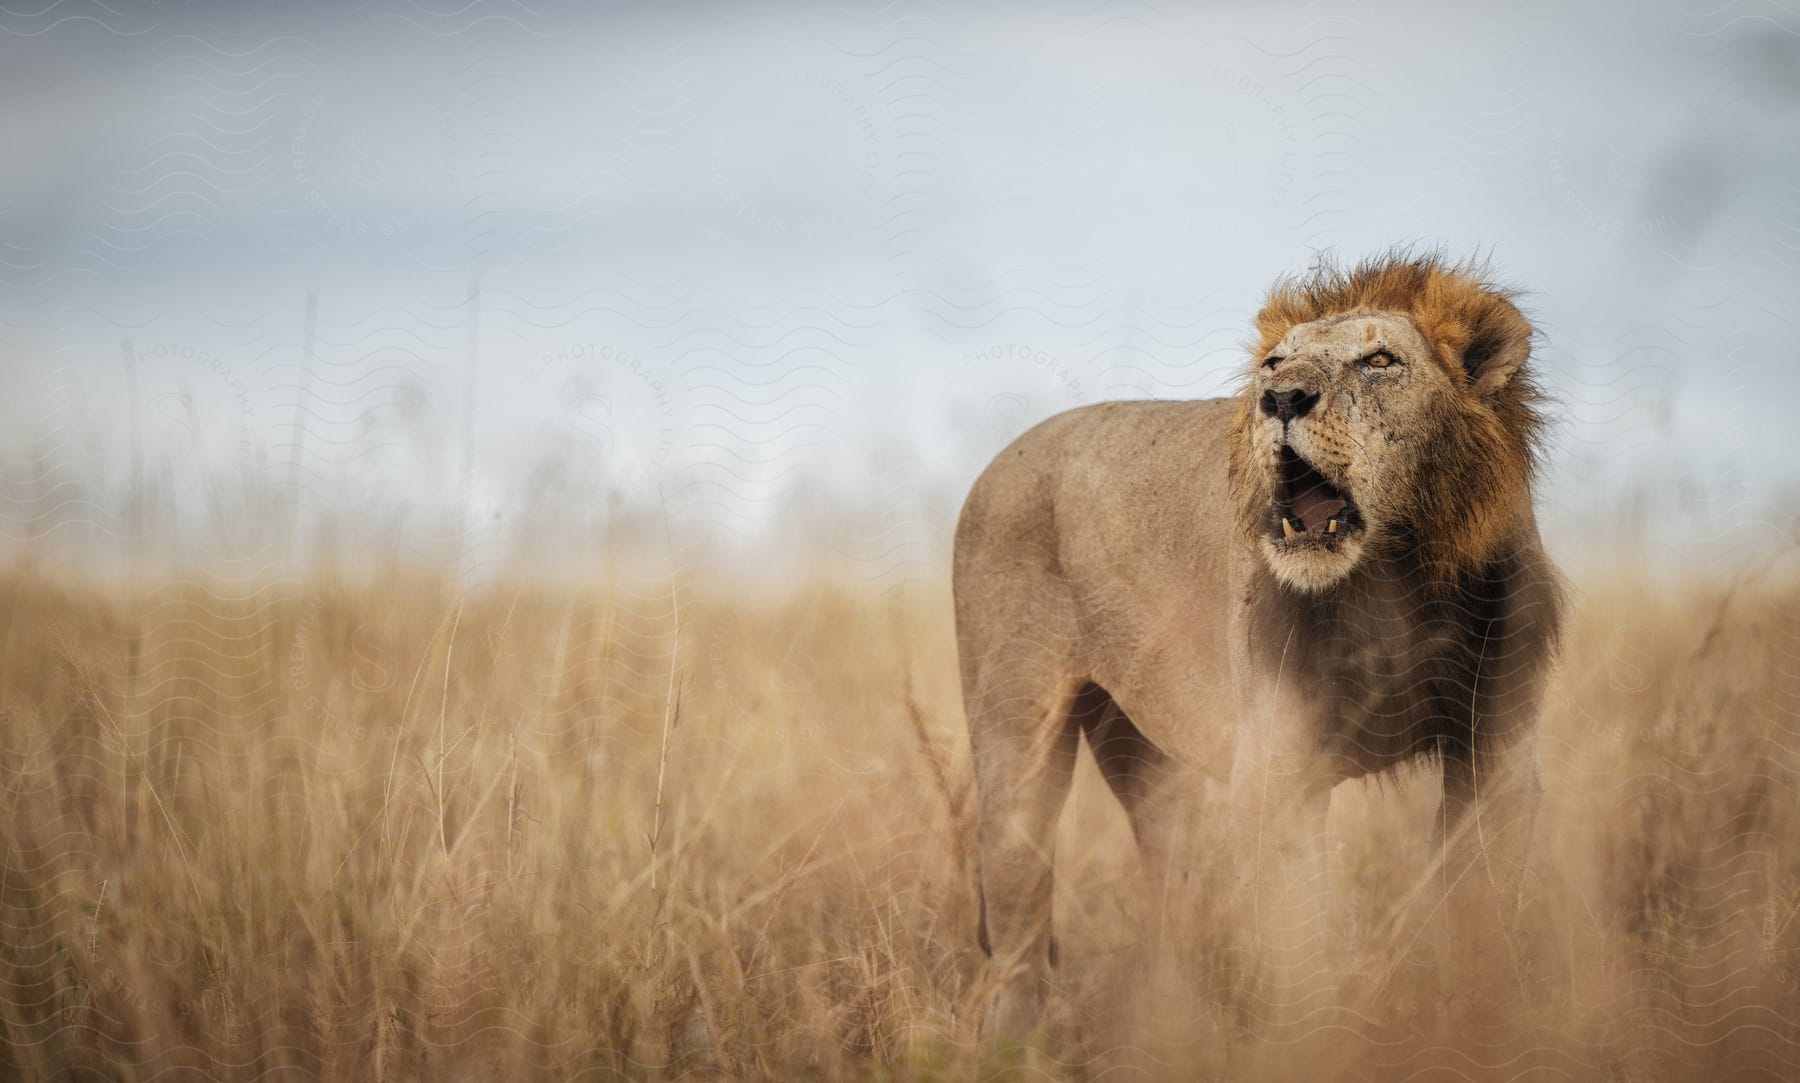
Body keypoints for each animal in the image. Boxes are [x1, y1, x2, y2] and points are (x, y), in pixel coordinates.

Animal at [957, 248, 1562, 1036]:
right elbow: (1300, 946)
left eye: (1379, 359)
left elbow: (1482, 909)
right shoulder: (1277, 767)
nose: (1280, 398)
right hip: (1015, 737)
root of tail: (998, 461)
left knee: (1169, 884)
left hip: (1145, 753)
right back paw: (1016, 1038)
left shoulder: (1497, 751)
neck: (1397, 579)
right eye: (1275, 362)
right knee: (1018, 911)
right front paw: (1317, 1042)